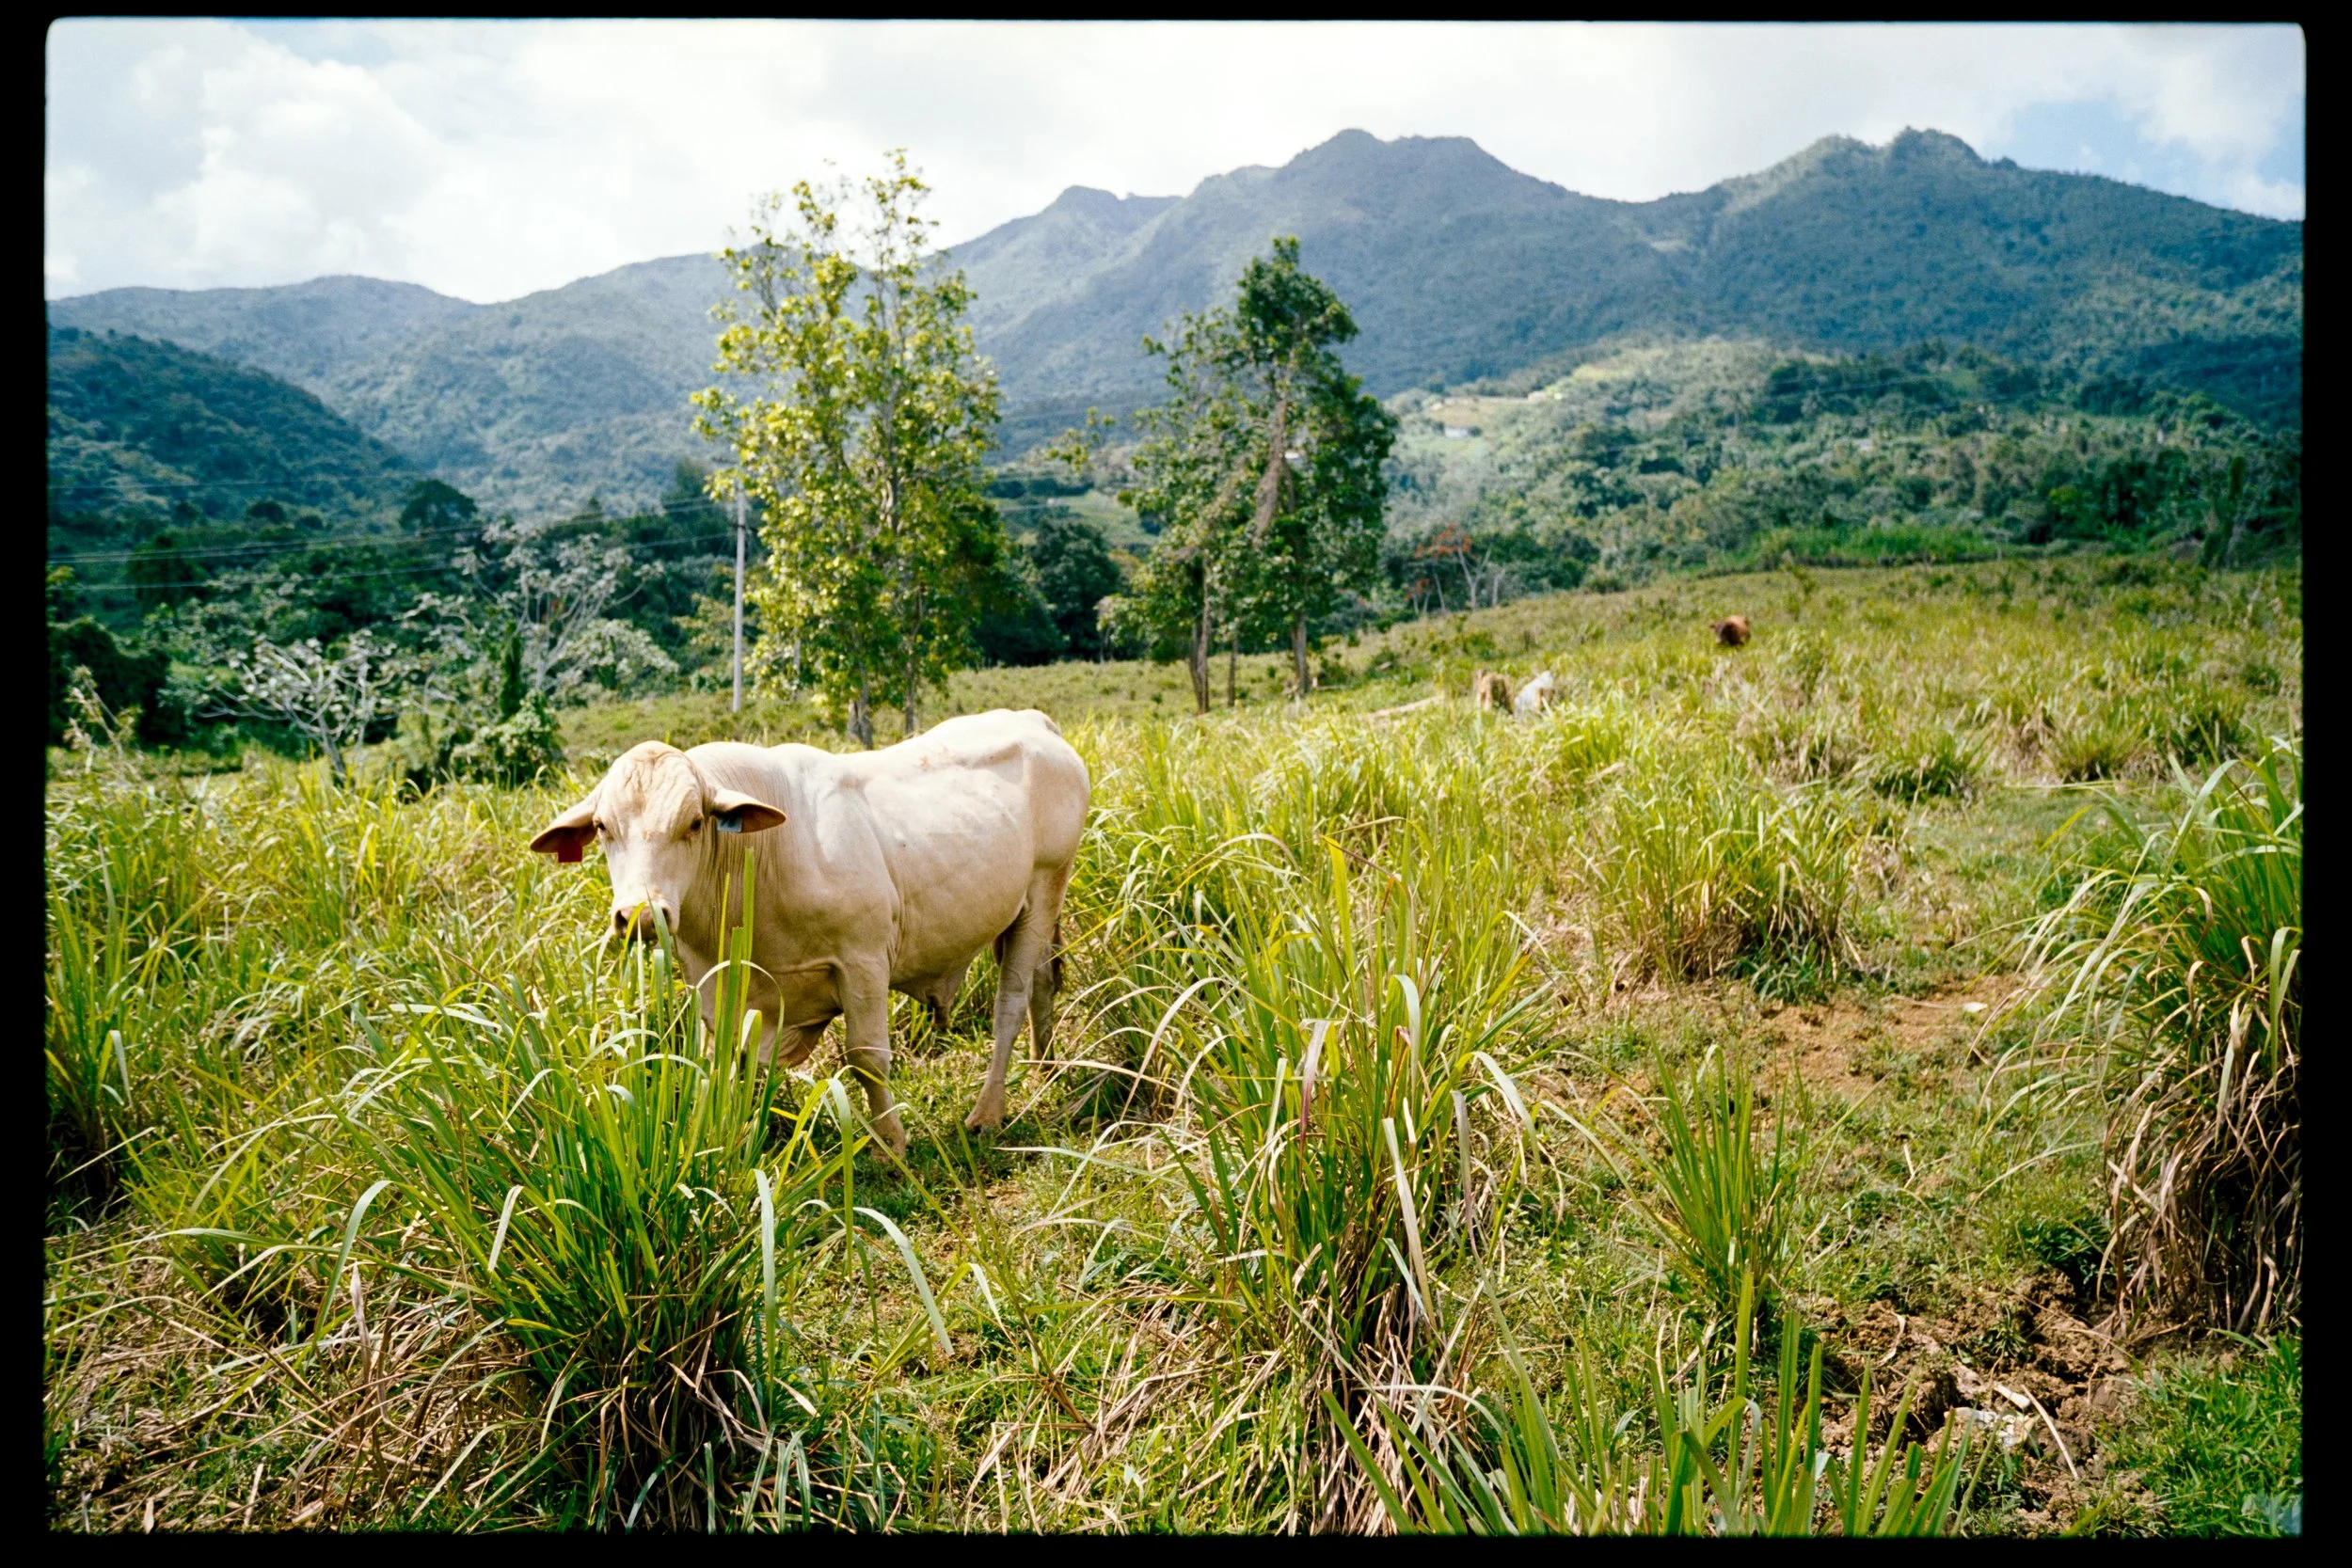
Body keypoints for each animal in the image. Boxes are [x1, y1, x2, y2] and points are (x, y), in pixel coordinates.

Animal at [527, 709, 1091, 1156]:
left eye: (694, 823)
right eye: (603, 827)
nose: (642, 916)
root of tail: (1032, 720)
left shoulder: (862, 960)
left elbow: (867, 1058)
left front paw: (890, 1144)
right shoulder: (718, 984)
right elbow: (726, 1060)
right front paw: (723, 1140)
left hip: (1046, 885)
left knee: (1011, 1002)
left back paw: (988, 1111)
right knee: (1043, 984)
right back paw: (1044, 1069)